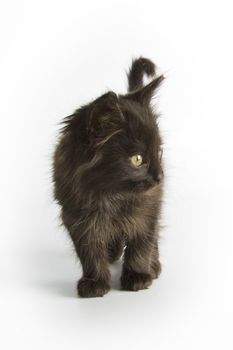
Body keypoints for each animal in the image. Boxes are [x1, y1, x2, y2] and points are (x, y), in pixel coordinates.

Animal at [53, 57, 165, 298]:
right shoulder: (76, 217)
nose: (160, 176)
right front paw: (95, 282)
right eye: (137, 159)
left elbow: (142, 242)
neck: (110, 195)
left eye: (158, 152)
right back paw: (112, 254)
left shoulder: (147, 208)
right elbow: (90, 251)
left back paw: (154, 265)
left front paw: (138, 277)